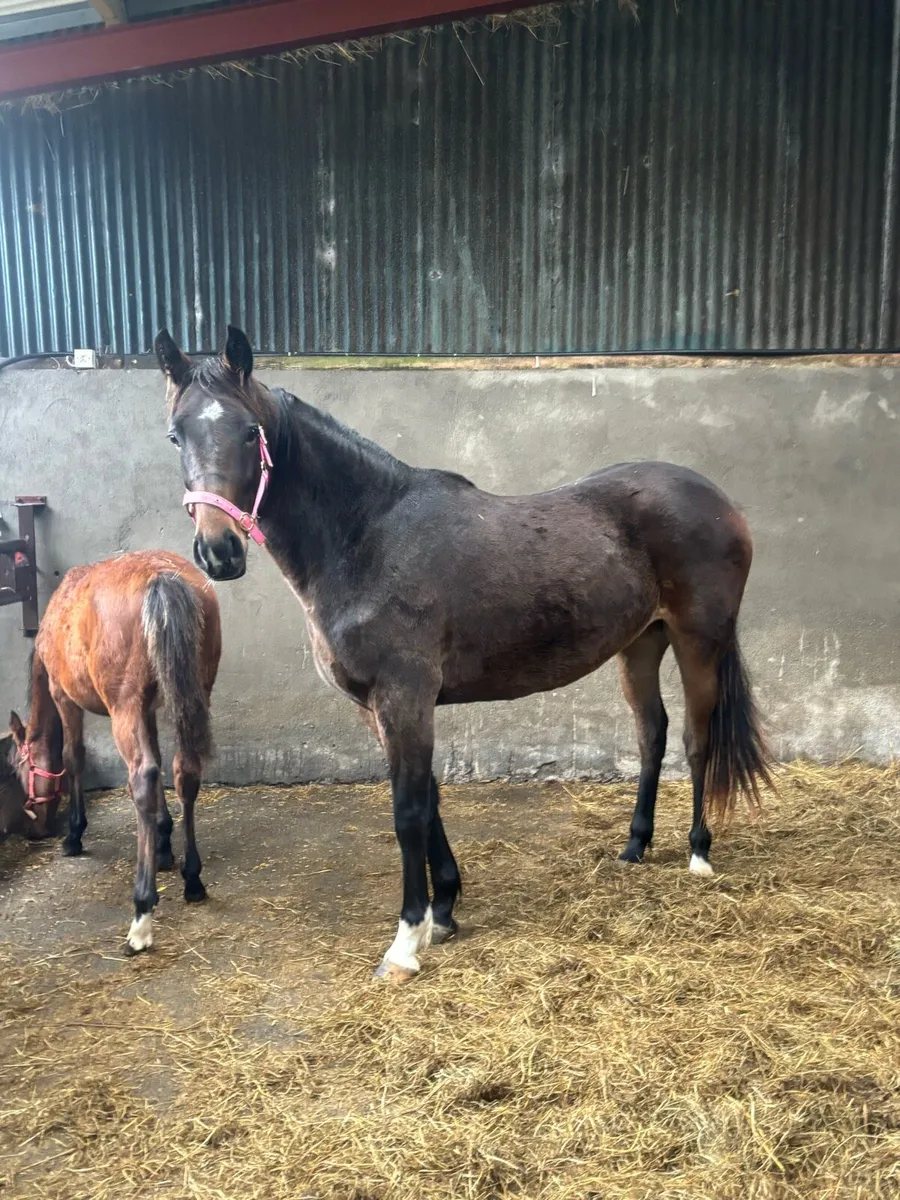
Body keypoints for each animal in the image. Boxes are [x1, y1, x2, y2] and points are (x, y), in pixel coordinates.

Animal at [7, 550, 221, 954]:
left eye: (20, 772)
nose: (36, 830)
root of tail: (161, 576)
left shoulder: (63, 696)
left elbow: (74, 757)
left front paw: (74, 835)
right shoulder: (149, 709)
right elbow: (160, 769)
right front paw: (164, 844)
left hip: (123, 707)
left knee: (142, 777)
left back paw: (142, 914)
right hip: (193, 693)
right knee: (183, 771)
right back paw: (192, 879)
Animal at [156, 325, 772, 981]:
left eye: (250, 432)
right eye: (176, 435)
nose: (218, 551)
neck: (366, 538)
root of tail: (718, 501)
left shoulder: (404, 697)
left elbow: (407, 811)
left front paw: (405, 942)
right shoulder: (381, 709)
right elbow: (427, 799)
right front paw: (444, 909)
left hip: (698, 641)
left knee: (697, 738)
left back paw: (699, 854)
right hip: (640, 644)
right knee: (651, 734)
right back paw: (635, 846)